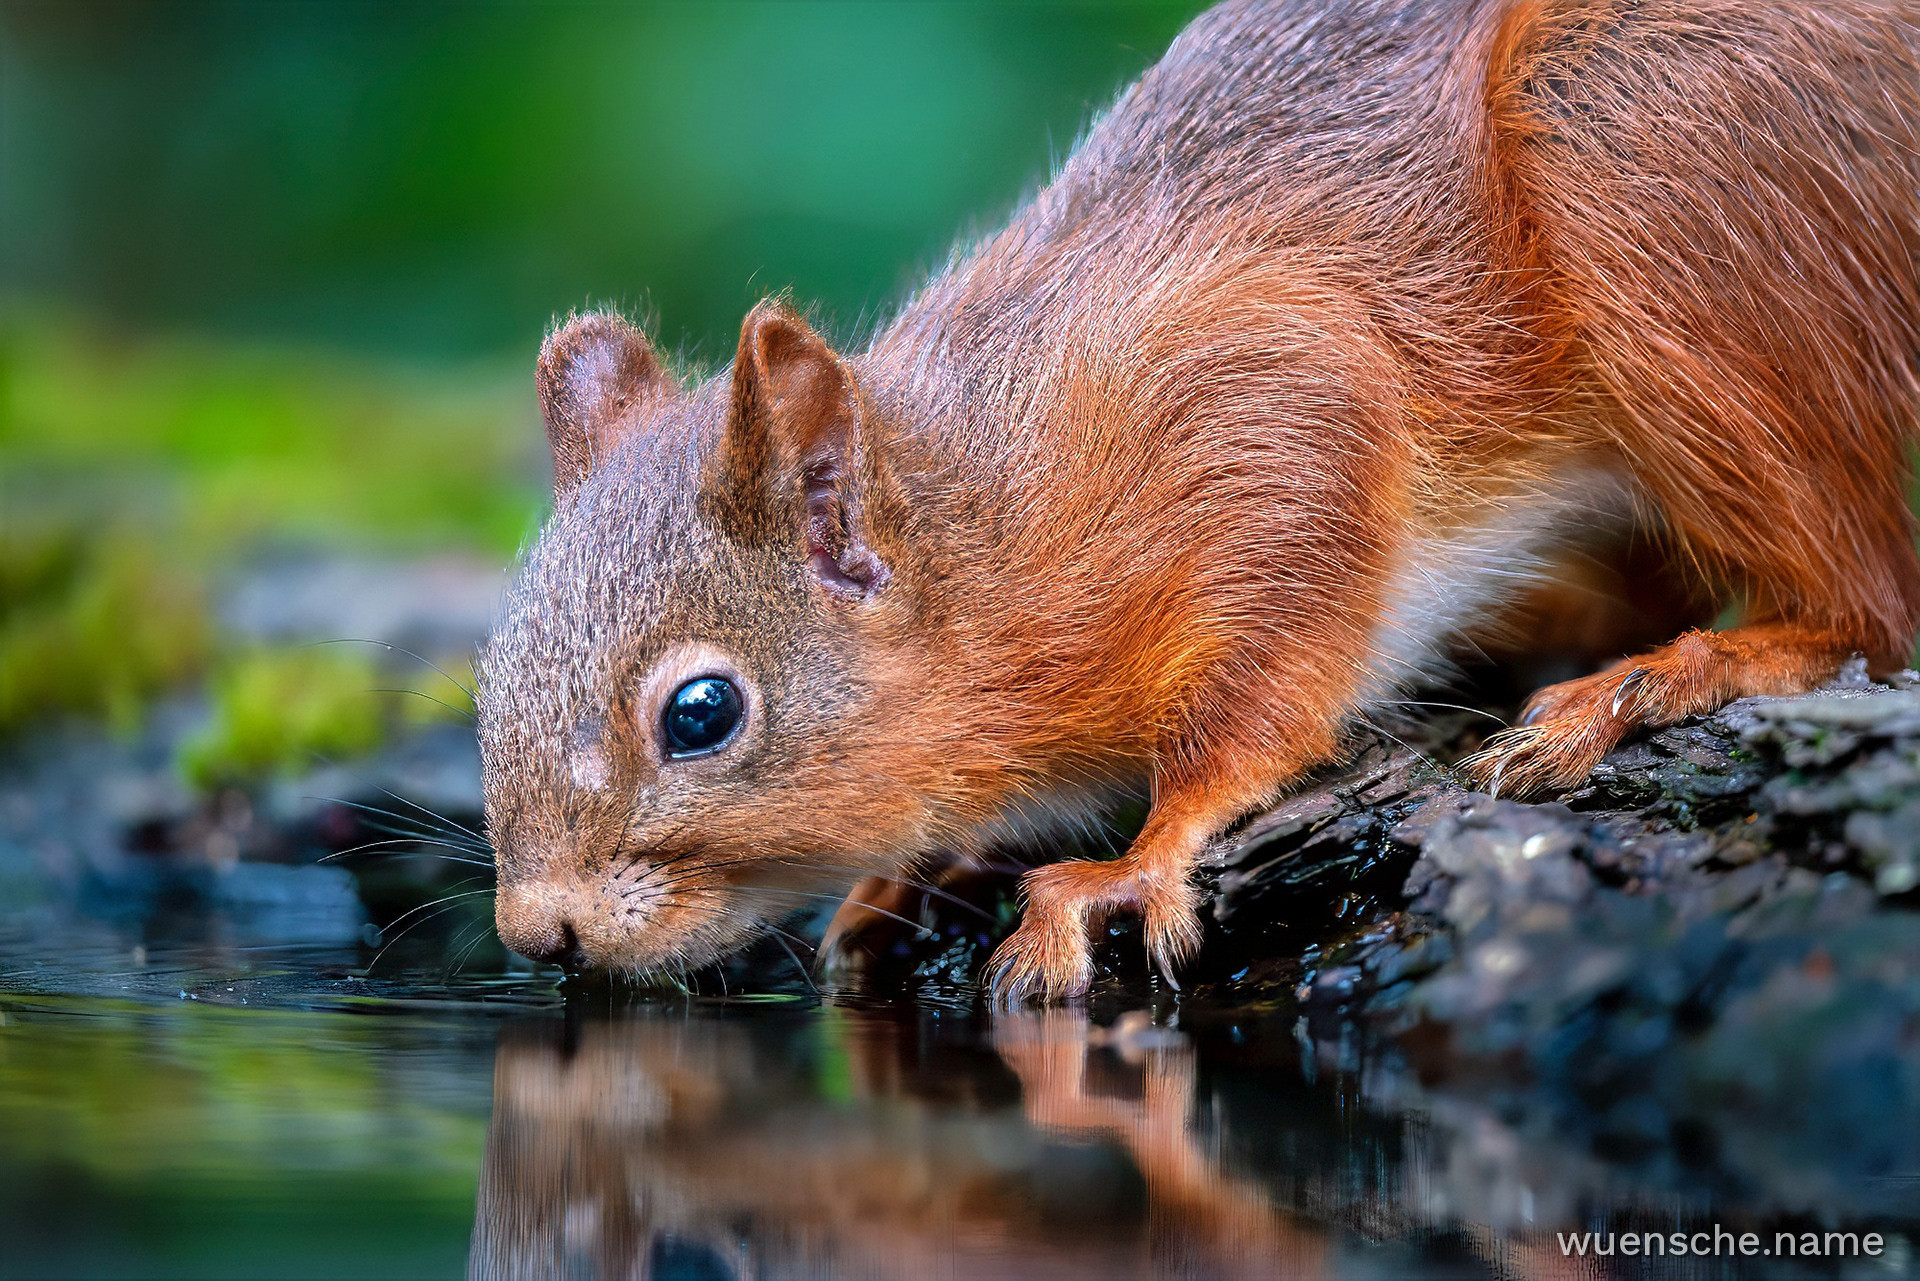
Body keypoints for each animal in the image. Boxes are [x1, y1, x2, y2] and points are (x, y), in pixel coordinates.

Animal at [477, 0, 1920, 1001]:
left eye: (702, 715)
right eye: (487, 676)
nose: (536, 933)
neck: (1001, 520)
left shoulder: (1270, 425)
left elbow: (1258, 698)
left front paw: (1134, 858)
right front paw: (915, 867)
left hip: (1645, 167)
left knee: (1861, 602)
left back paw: (1660, 679)